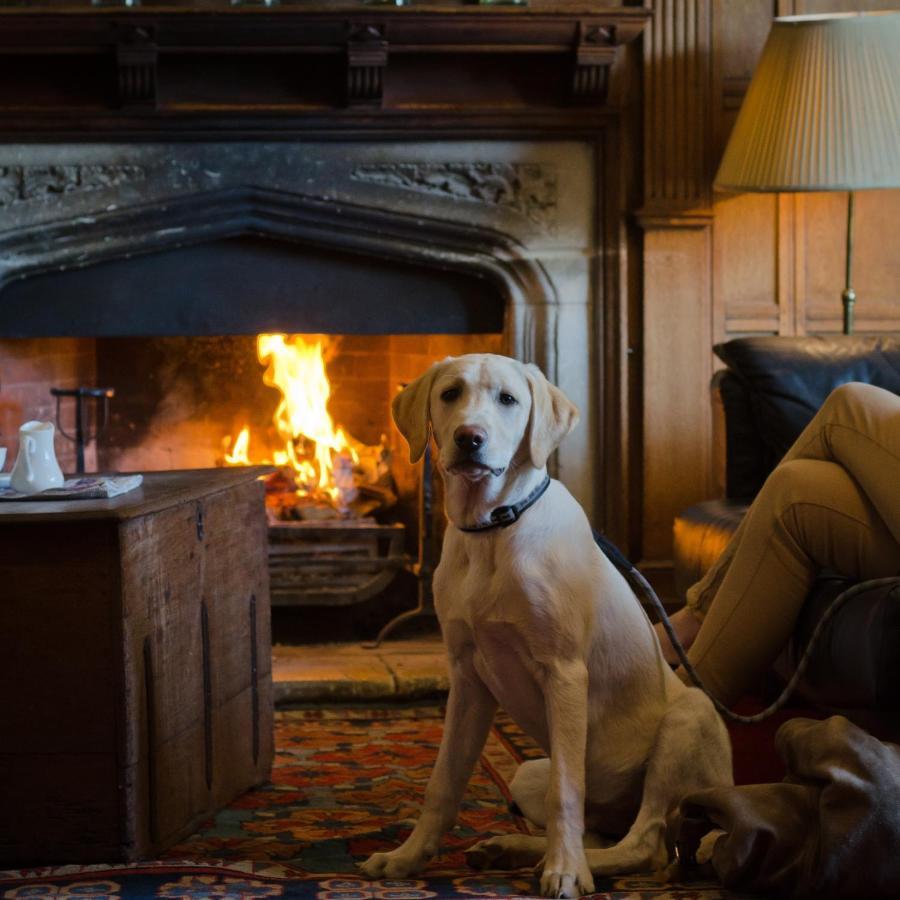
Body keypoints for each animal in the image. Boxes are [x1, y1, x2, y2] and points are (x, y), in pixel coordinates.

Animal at [358, 356, 732, 896]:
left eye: (508, 399)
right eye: (450, 394)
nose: (469, 438)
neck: (494, 528)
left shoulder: (565, 673)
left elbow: (566, 793)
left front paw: (565, 873)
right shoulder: (467, 677)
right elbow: (444, 782)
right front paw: (406, 858)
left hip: (688, 720)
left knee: (646, 843)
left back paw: (565, 862)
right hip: (529, 773)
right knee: (597, 831)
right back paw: (513, 848)